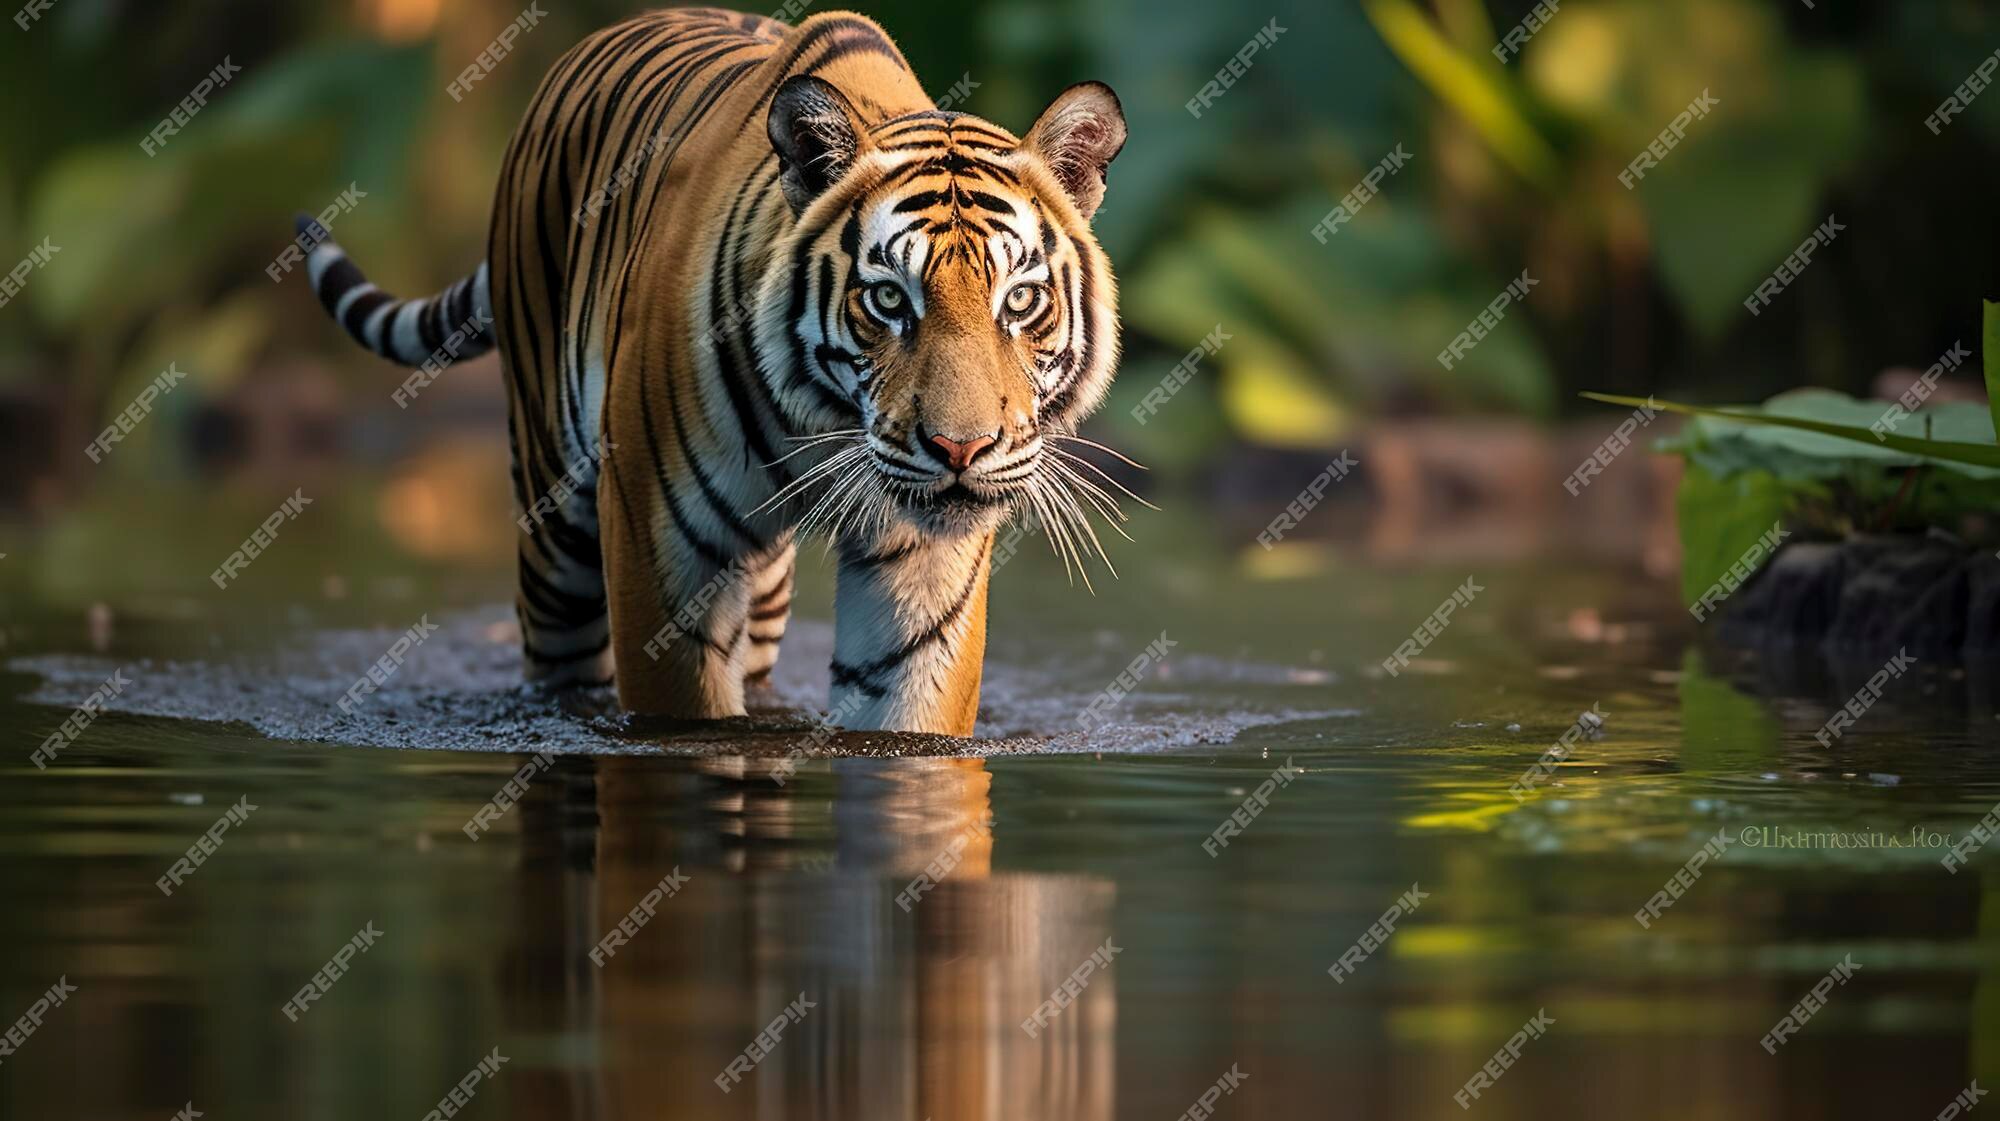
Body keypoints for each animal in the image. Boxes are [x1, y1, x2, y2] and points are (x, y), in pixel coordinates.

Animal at [304, 10, 1136, 744]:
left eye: (1019, 300)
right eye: (889, 300)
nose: (961, 450)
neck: (826, 423)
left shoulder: (922, 559)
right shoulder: (660, 545)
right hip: (554, 529)